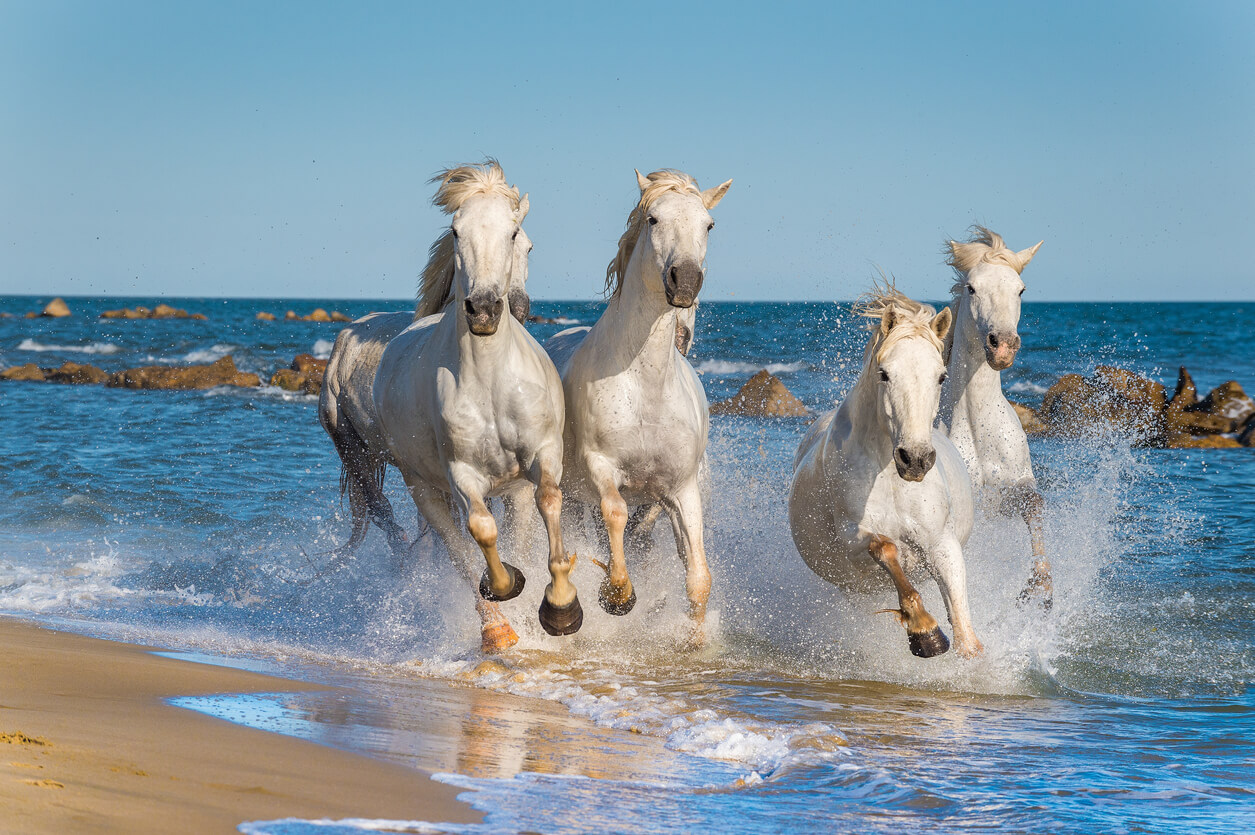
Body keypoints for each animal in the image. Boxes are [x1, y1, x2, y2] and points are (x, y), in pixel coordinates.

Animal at [372, 162, 575, 653]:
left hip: (512, 492)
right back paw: (496, 628)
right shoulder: (461, 474)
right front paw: (507, 587)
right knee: (458, 549)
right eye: (456, 230)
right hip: (424, 490)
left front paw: (562, 608)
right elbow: (482, 532)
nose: (484, 309)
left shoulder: (543, 456)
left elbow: (550, 502)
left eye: (517, 234)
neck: (490, 380)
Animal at [544, 168, 731, 640]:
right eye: (653, 219)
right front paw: (617, 595)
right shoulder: (601, 466)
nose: (685, 281)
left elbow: (698, 576)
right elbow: (614, 512)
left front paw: (695, 642)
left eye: (709, 225)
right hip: (572, 497)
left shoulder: (681, 489)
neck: (646, 387)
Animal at [788, 287, 983, 659]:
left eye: (941, 376)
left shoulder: (942, 543)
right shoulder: (853, 538)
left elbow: (966, 632)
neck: (891, 478)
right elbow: (886, 547)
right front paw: (925, 632)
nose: (915, 460)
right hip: (854, 588)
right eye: (884, 373)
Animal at [937, 227, 1050, 607]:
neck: (977, 427)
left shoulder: (1010, 492)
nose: (1002, 345)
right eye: (971, 288)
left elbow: (1034, 503)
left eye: (1021, 289)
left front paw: (1040, 585)